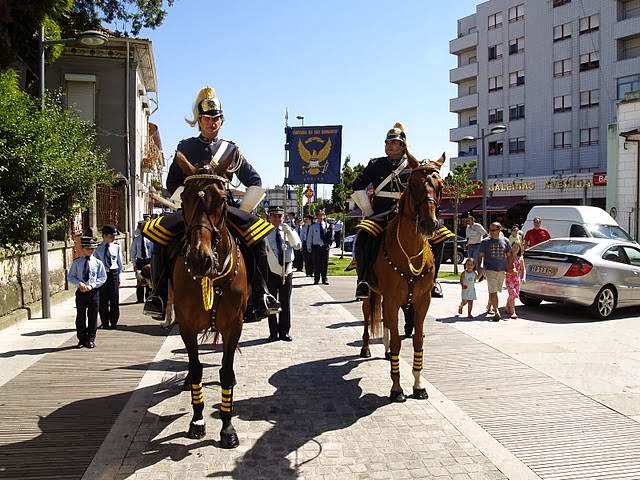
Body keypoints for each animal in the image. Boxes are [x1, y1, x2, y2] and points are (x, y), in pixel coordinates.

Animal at [172, 151, 248, 450]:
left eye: (222, 199)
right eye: (184, 198)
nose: (199, 259)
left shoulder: (233, 326)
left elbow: (225, 372)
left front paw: (227, 428)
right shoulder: (186, 326)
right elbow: (195, 370)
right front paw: (197, 420)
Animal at [360, 152, 444, 404]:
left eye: (441, 186)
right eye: (414, 185)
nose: (429, 224)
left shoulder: (421, 302)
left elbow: (418, 340)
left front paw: (418, 386)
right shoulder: (391, 299)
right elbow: (398, 341)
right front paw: (396, 388)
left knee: (387, 324)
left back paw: (386, 351)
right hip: (371, 293)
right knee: (367, 317)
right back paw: (366, 347)